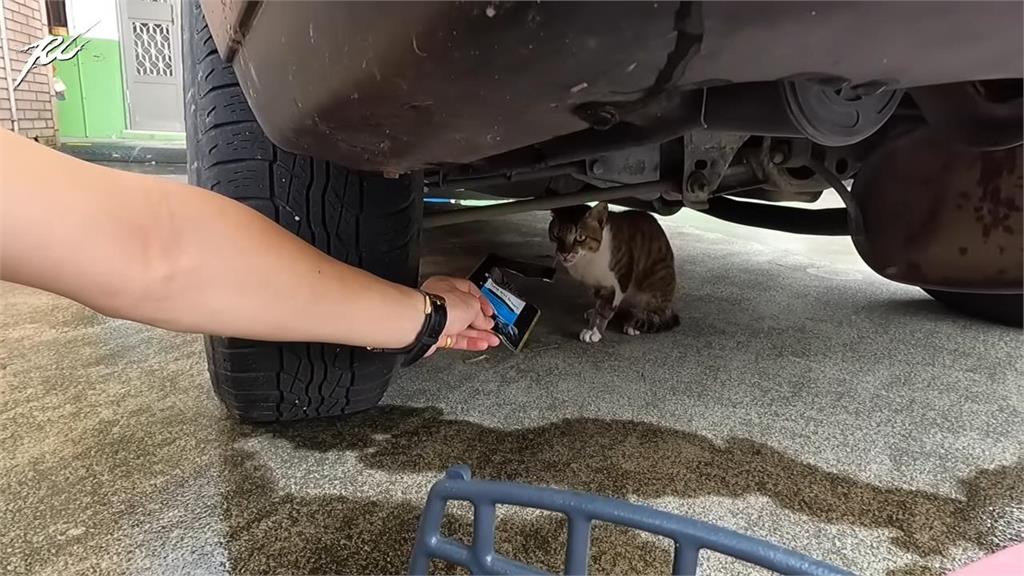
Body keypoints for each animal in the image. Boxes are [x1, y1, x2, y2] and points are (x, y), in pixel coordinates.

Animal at [544, 202, 679, 340]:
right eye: (556, 234)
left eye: (580, 237)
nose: (564, 253)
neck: (588, 258)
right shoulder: (595, 285)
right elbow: (600, 306)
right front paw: (594, 318)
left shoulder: (617, 283)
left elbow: (604, 310)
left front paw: (594, 331)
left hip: (654, 287)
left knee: (652, 314)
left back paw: (634, 323)